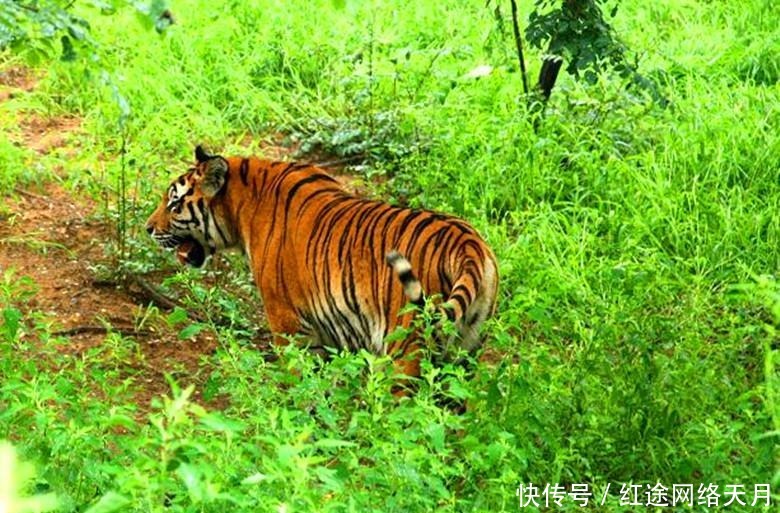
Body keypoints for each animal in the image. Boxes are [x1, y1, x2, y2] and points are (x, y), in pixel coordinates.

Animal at [145, 145, 499, 382]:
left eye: (174, 204)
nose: (148, 228)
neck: (242, 204)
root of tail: (468, 243)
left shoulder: (287, 323)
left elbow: (298, 382)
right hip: (466, 350)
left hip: (405, 347)